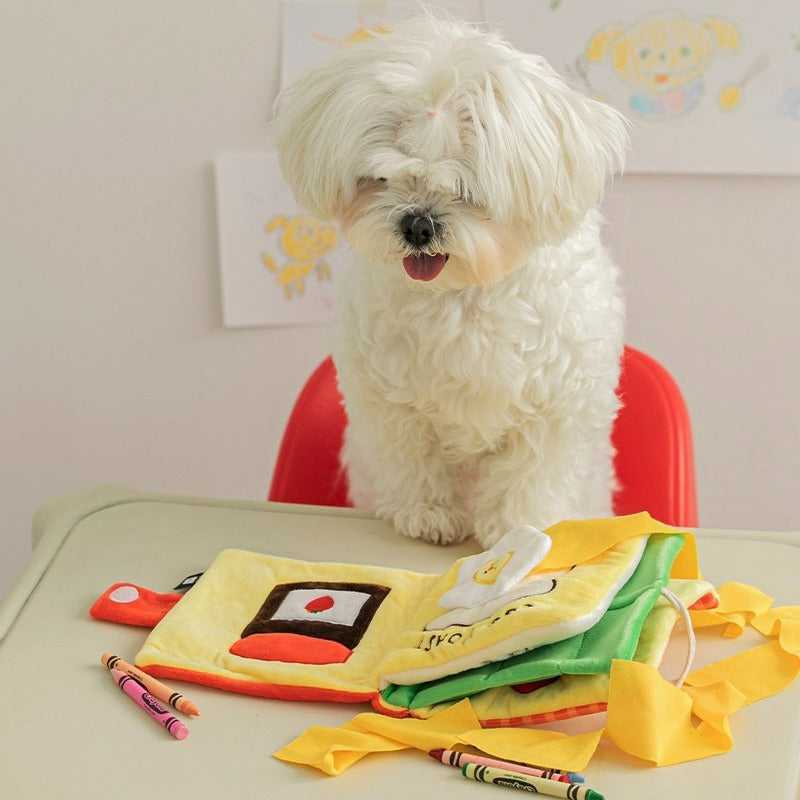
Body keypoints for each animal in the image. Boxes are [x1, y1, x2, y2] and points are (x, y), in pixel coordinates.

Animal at [272, 14, 628, 552]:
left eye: (467, 189)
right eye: (381, 178)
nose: (417, 225)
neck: (462, 294)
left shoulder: (554, 407)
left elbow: (531, 473)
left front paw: (517, 527)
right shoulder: (392, 404)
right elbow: (414, 460)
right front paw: (429, 515)